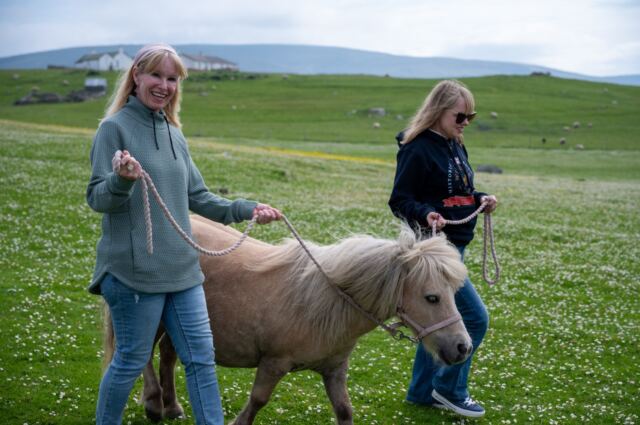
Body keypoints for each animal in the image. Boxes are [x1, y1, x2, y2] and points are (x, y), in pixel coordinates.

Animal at [104, 216, 472, 424]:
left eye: (455, 292)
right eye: (432, 297)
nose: (462, 347)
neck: (324, 302)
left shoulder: (334, 371)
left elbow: (345, 411)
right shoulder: (273, 363)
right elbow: (257, 402)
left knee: (167, 355)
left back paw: (171, 407)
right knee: (141, 354)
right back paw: (154, 403)